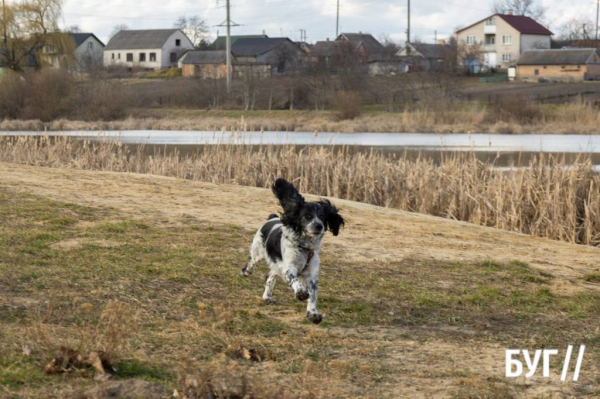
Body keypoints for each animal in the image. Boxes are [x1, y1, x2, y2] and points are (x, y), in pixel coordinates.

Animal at [241, 178, 344, 324]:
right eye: (307, 215)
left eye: (322, 216)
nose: (319, 226)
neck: (304, 247)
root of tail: (272, 218)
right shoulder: (288, 267)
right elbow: (295, 280)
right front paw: (300, 293)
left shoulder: (311, 274)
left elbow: (312, 295)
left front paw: (313, 314)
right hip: (258, 254)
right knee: (251, 264)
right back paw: (246, 272)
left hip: (276, 266)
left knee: (269, 277)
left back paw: (267, 297)